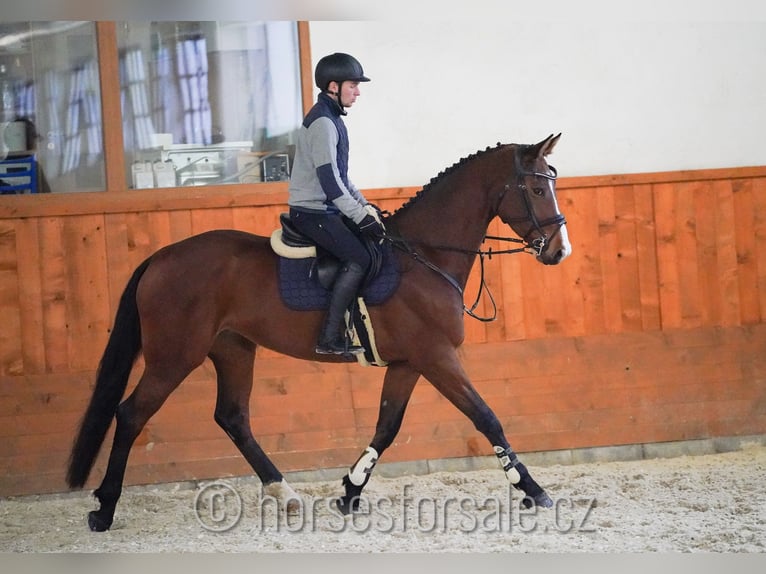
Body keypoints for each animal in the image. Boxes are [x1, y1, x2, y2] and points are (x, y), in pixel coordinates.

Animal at [66, 133, 568, 532]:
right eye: (537, 187)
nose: (559, 251)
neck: (423, 255)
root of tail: (161, 256)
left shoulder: (409, 363)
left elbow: (386, 427)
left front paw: (349, 491)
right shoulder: (437, 357)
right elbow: (486, 417)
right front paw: (532, 489)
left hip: (233, 348)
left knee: (232, 417)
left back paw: (285, 495)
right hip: (174, 356)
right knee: (131, 414)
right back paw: (104, 510)